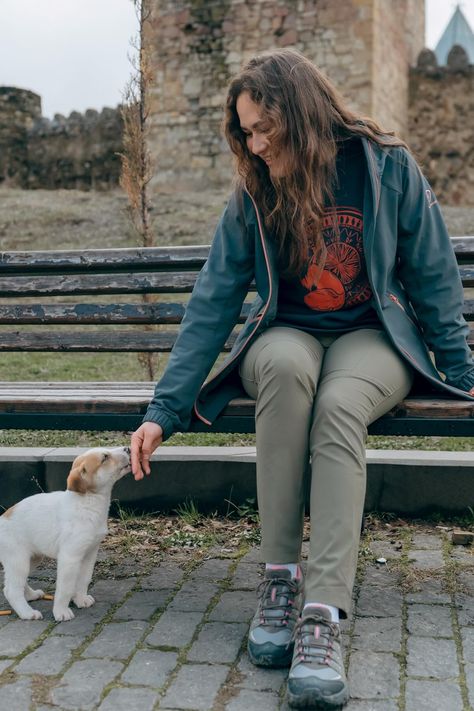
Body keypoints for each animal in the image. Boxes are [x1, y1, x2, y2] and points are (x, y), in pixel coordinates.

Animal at [0, 450, 131, 624]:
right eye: (105, 457)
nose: (128, 449)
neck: (88, 502)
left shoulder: (89, 554)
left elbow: (83, 580)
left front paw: (80, 600)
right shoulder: (69, 557)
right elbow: (65, 588)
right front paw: (61, 612)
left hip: (32, 559)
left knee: (17, 584)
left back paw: (31, 595)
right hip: (17, 559)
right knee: (11, 590)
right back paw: (28, 613)